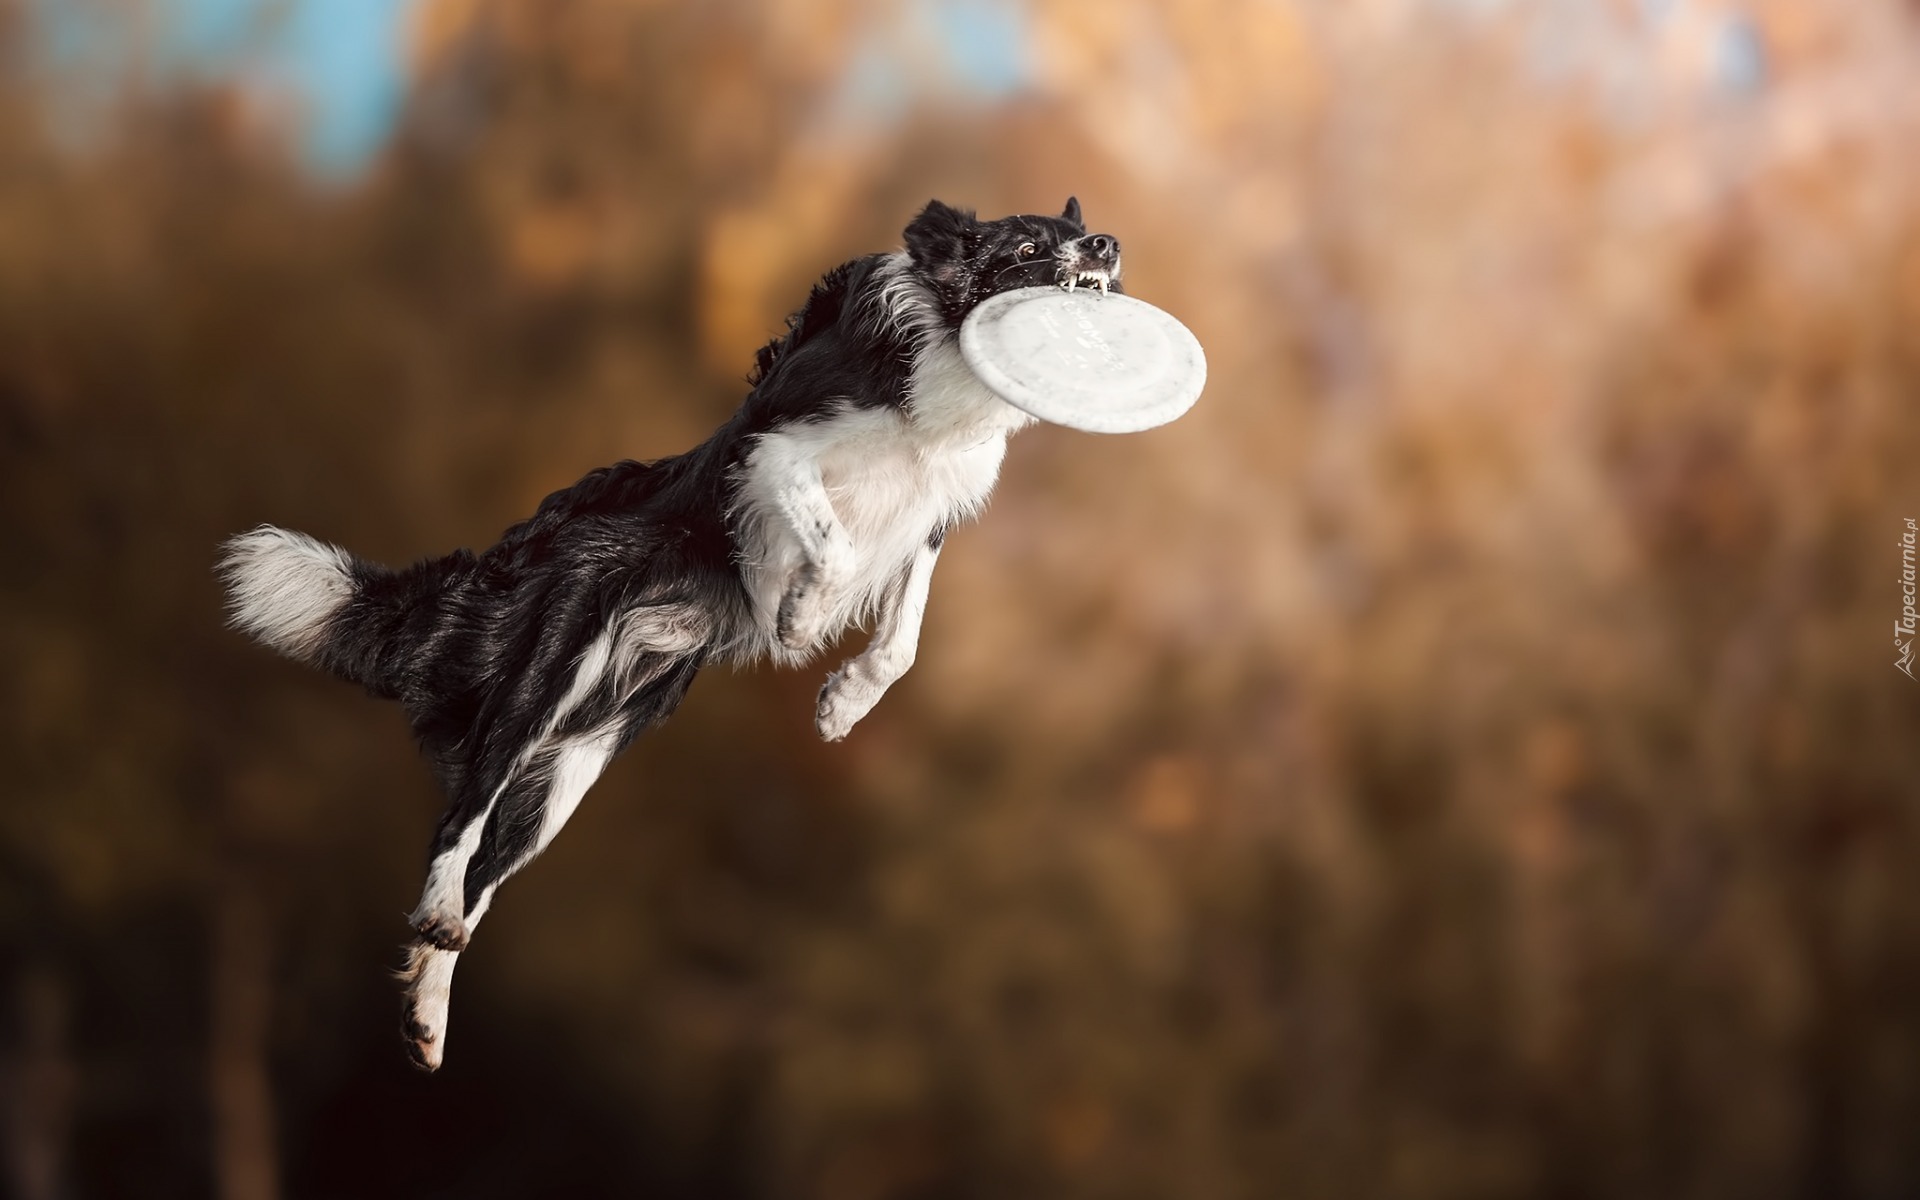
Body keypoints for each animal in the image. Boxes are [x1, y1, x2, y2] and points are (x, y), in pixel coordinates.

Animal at [224, 196, 1121, 1067]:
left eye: (1077, 231)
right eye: (1030, 244)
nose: (1108, 245)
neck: (945, 350)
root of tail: (506, 561)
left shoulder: (928, 516)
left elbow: (903, 640)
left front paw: (843, 703)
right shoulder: (777, 453)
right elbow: (828, 547)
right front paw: (800, 616)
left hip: (568, 777)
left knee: (484, 881)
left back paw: (428, 1015)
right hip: (543, 679)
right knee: (463, 819)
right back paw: (438, 919)